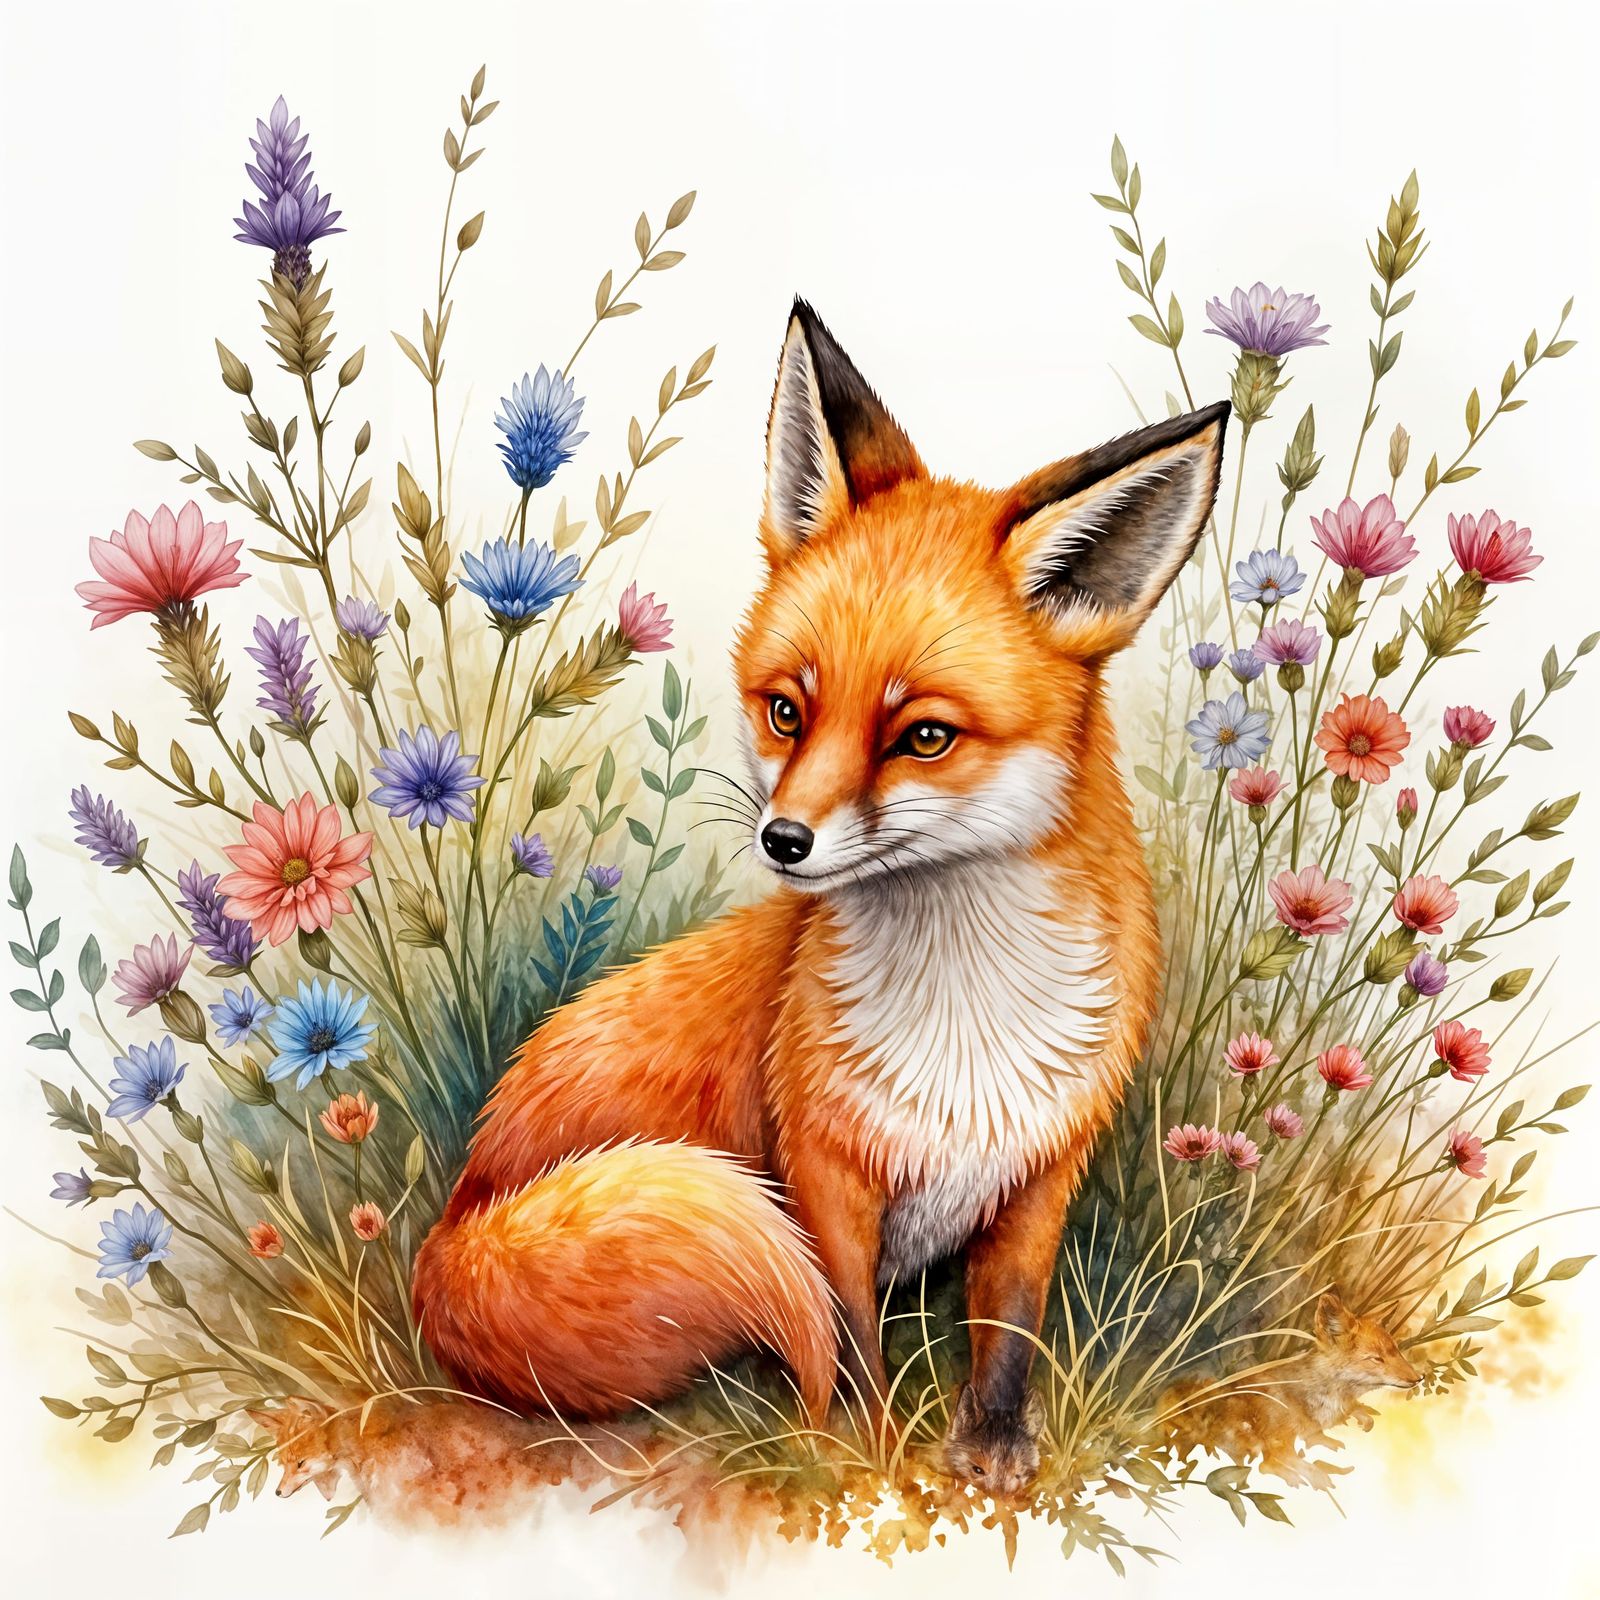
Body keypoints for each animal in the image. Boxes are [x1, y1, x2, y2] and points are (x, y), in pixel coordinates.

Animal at [412, 297, 1230, 1485]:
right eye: (787, 712)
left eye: (923, 736)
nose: (784, 840)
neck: (966, 1023)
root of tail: (451, 1221)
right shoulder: (822, 1176)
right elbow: (848, 1346)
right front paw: (869, 1457)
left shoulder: (1041, 1171)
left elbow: (1008, 1330)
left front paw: (990, 1451)